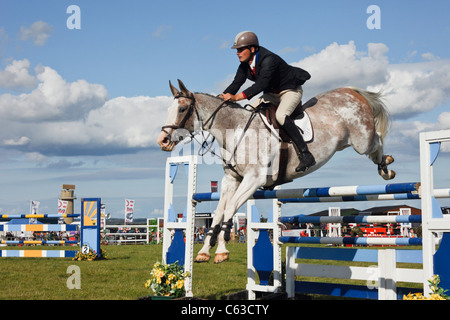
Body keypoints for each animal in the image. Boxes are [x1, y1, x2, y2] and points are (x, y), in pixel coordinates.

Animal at [157, 79, 394, 262]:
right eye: (168, 110)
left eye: (182, 109)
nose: (163, 141)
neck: (235, 130)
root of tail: (350, 91)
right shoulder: (232, 179)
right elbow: (219, 212)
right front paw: (205, 251)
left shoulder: (253, 179)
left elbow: (230, 208)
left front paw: (222, 251)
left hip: (361, 141)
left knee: (377, 139)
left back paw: (386, 167)